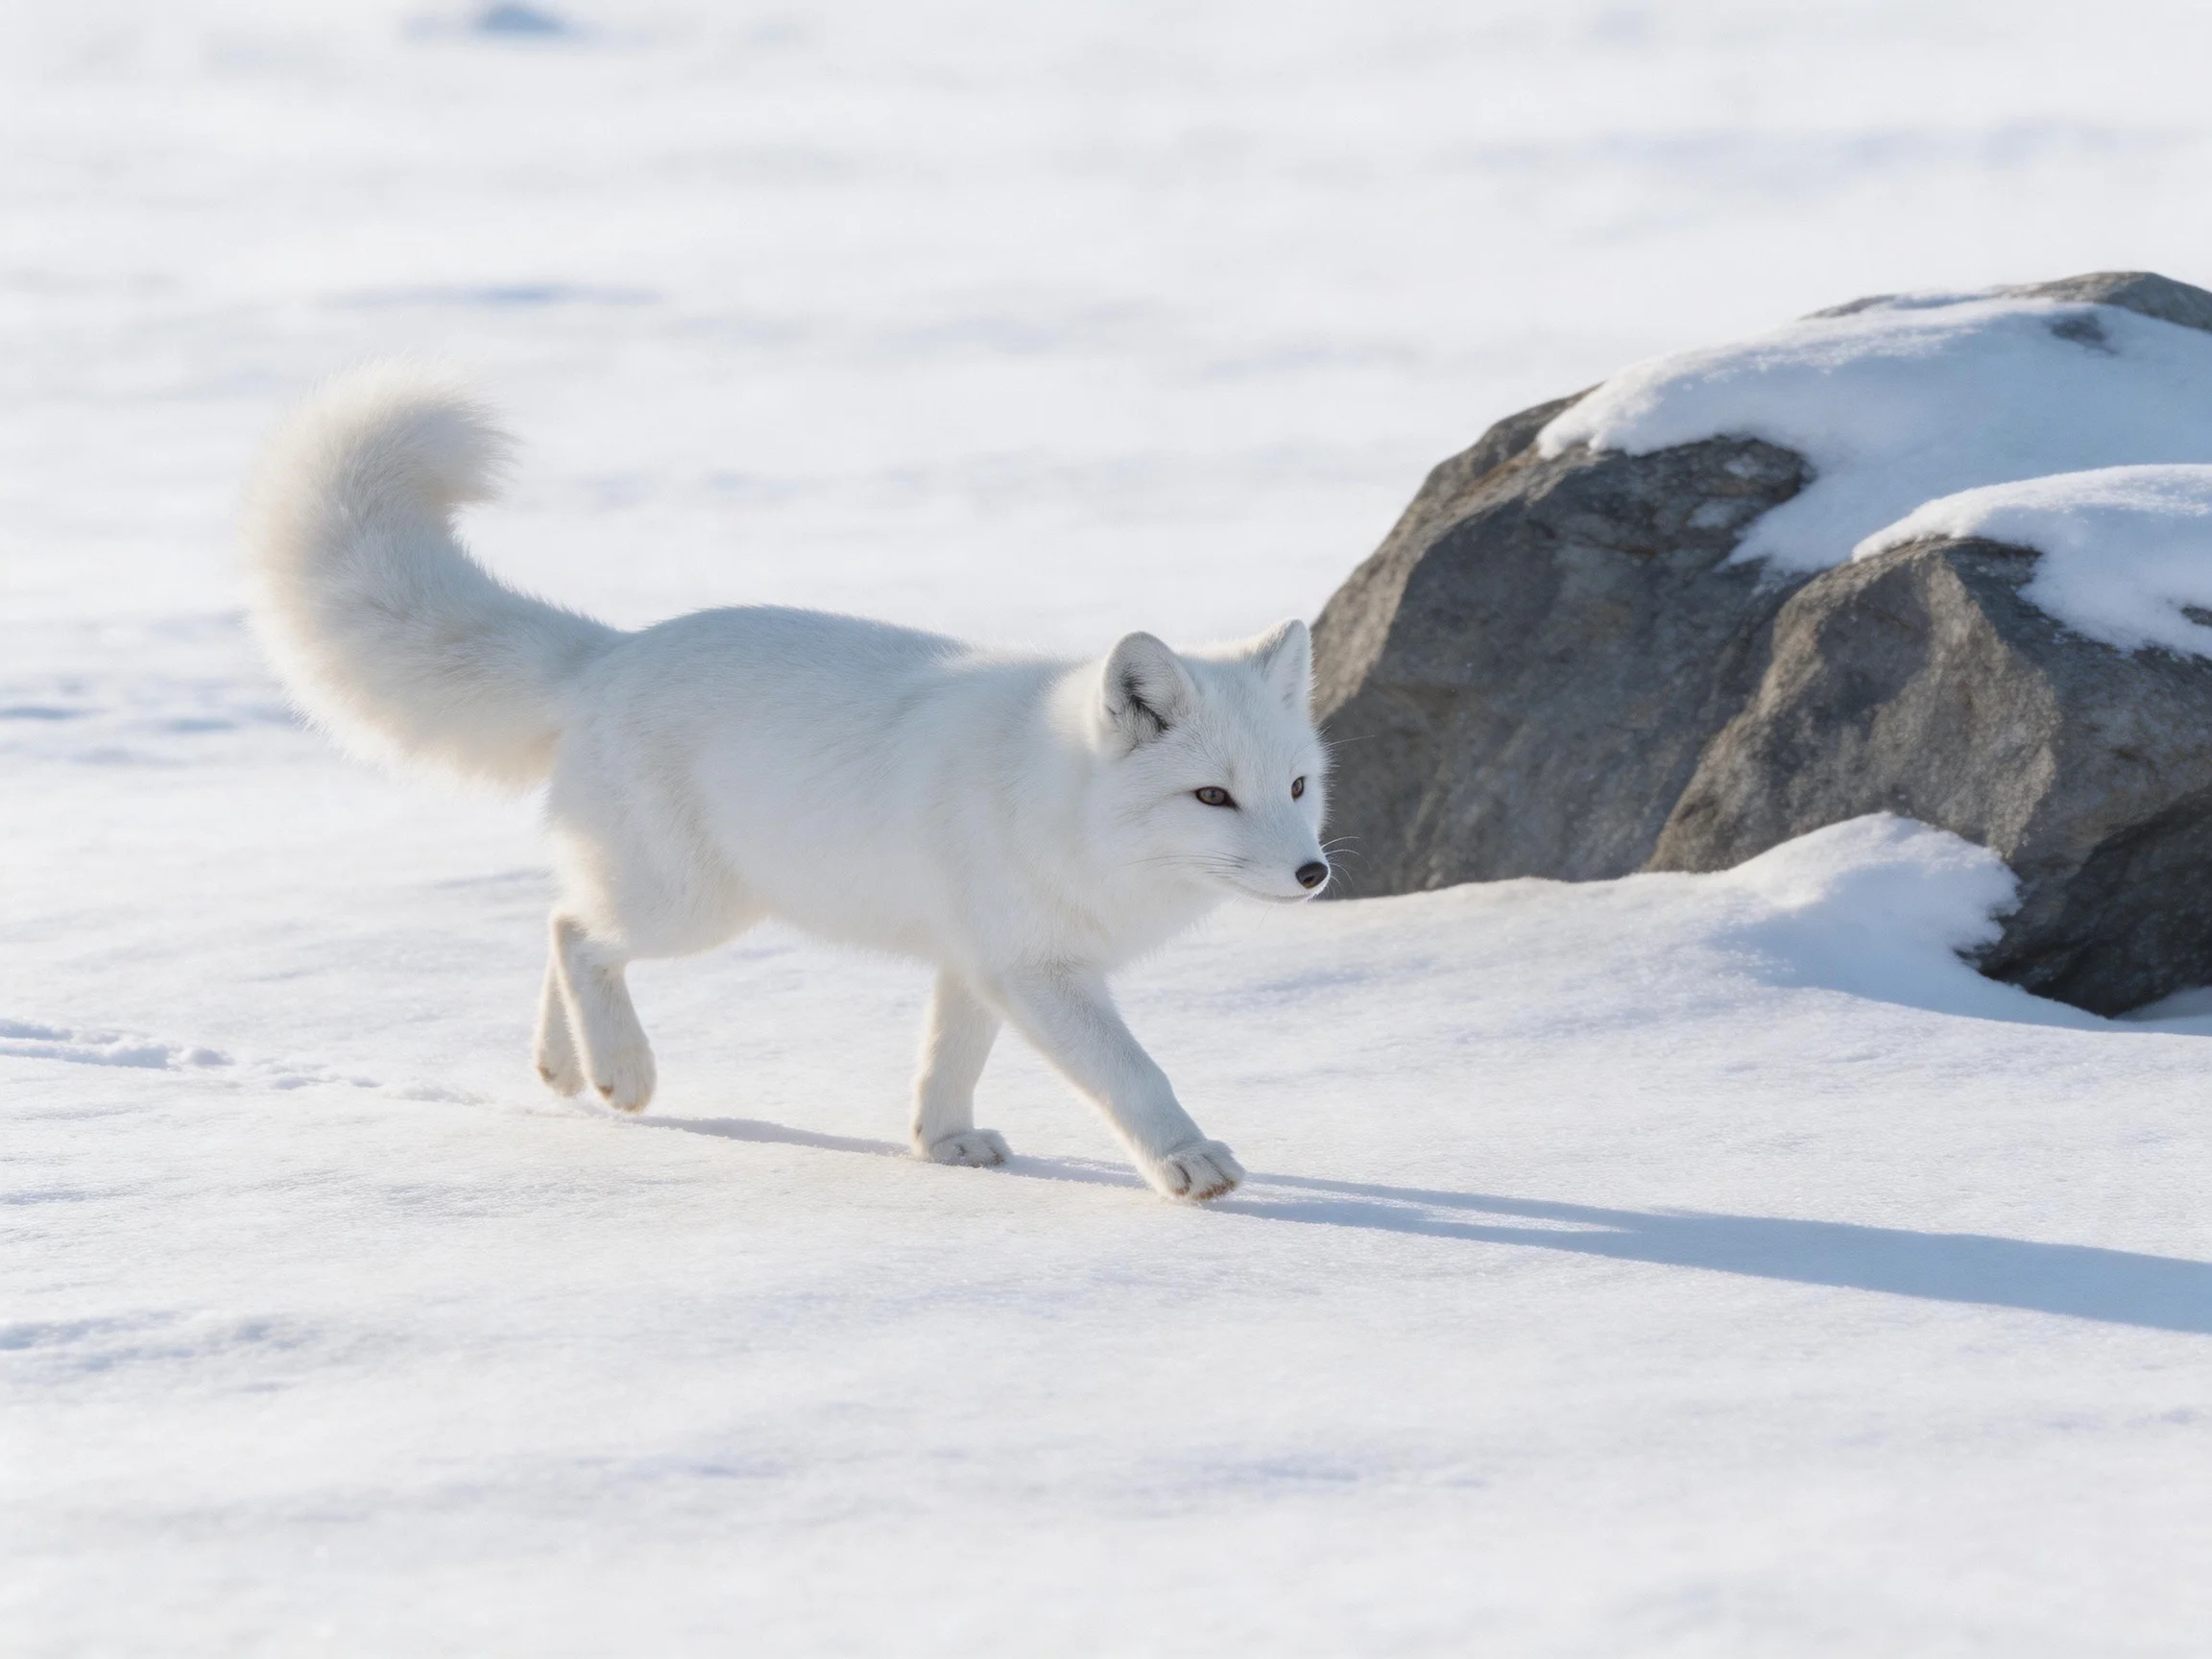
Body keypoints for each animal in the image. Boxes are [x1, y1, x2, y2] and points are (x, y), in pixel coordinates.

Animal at [243, 363, 1332, 1201]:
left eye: (1294, 788)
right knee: (578, 934)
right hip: (695, 907)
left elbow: (946, 1063)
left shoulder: (975, 964)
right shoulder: (1039, 970)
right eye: (1212, 796)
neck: (1060, 802)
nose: (1316, 875)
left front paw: (943, 1146)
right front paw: (1189, 1162)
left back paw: (562, 1067)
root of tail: (608, 653)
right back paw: (622, 1072)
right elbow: (1132, 1074)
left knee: (558, 916)